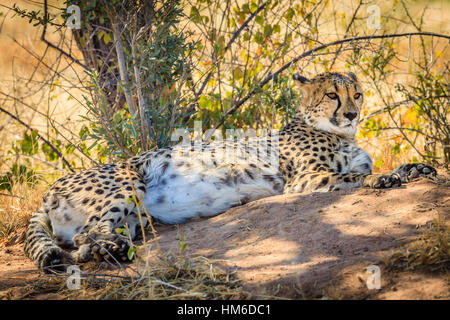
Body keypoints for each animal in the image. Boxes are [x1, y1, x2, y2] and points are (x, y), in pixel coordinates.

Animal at [23, 71, 436, 272]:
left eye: (357, 94)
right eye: (333, 95)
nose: (351, 114)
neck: (338, 133)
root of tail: (49, 189)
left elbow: (390, 165)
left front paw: (415, 167)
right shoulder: (303, 180)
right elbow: (352, 177)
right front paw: (383, 178)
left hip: (134, 217)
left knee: (81, 246)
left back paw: (108, 249)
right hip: (128, 184)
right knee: (86, 236)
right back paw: (111, 249)